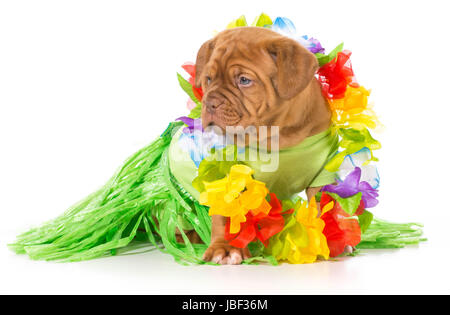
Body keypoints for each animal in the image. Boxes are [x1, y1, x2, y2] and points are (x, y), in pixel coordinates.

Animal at [192, 27, 330, 266]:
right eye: (208, 78)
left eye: (244, 80)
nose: (209, 103)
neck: (277, 135)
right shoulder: (228, 171)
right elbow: (224, 214)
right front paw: (225, 248)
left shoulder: (323, 170)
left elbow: (324, 204)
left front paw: (325, 239)